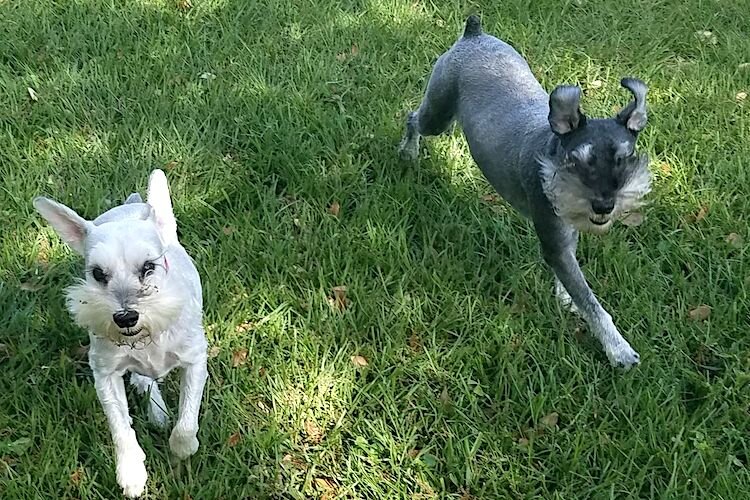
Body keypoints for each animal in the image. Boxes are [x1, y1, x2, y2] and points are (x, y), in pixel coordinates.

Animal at [34, 171, 207, 496]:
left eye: (149, 266)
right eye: (97, 273)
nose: (125, 317)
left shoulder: (195, 360)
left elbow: (186, 420)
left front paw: (183, 447)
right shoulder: (105, 374)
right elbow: (120, 427)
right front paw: (131, 472)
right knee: (144, 380)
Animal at [400, 16, 652, 368]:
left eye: (626, 158)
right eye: (577, 161)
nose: (604, 205)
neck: (550, 156)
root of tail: (474, 34)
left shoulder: (566, 234)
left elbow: (572, 279)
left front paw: (565, 297)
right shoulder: (553, 237)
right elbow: (592, 302)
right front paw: (618, 349)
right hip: (436, 114)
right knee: (413, 119)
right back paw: (408, 153)